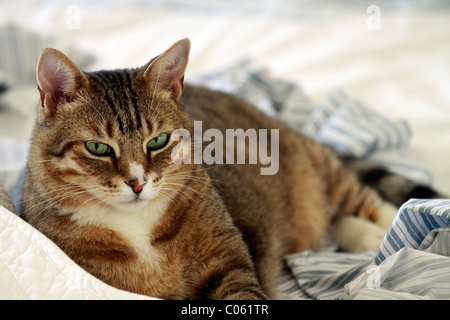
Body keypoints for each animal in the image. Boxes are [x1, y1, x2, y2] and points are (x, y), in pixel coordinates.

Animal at [22, 38, 442, 298]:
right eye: (97, 147)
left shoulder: (226, 262)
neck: (136, 227)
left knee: (373, 204)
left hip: (318, 170)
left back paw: (385, 233)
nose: (137, 182)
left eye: (158, 141)